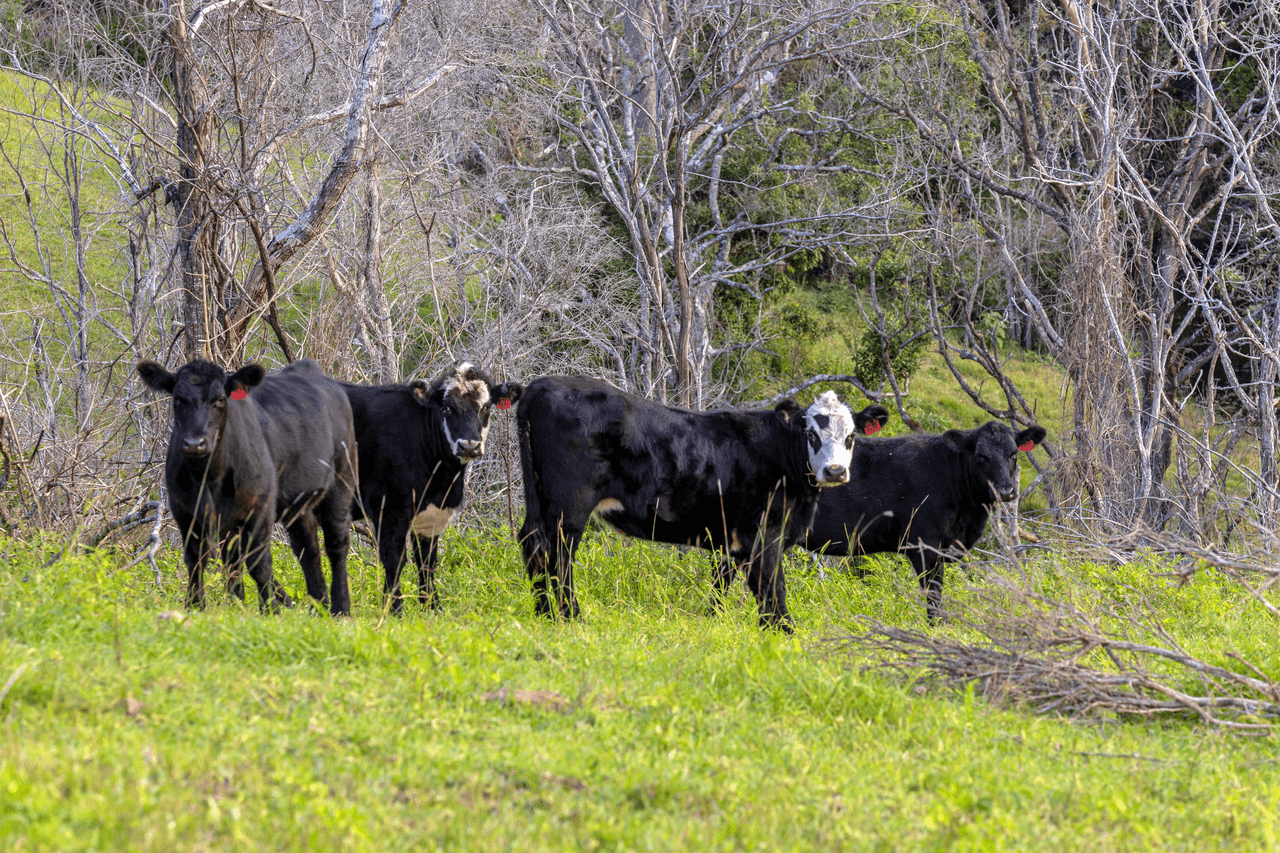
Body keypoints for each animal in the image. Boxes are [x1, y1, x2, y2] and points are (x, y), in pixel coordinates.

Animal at [137, 356, 358, 612]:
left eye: (220, 399)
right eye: (177, 399)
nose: (194, 443)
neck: (209, 477)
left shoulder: (259, 508)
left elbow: (258, 563)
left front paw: (270, 610)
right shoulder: (185, 511)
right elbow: (198, 559)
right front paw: (202, 606)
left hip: (342, 480)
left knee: (336, 545)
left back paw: (340, 608)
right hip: (295, 503)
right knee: (307, 546)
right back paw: (318, 605)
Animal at [340, 361, 524, 607]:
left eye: (486, 407)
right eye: (446, 408)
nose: (469, 446)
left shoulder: (432, 513)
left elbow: (427, 561)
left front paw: (432, 607)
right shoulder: (389, 509)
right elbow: (394, 560)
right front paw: (394, 608)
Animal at [512, 376, 890, 627]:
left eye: (851, 436)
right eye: (810, 434)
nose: (835, 470)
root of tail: (542, 384)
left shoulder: (732, 538)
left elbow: (723, 583)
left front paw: (717, 621)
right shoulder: (764, 534)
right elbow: (772, 585)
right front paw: (782, 631)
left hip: (541, 500)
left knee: (533, 544)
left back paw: (544, 614)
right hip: (569, 505)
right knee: (559, 555)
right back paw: (570, 617)